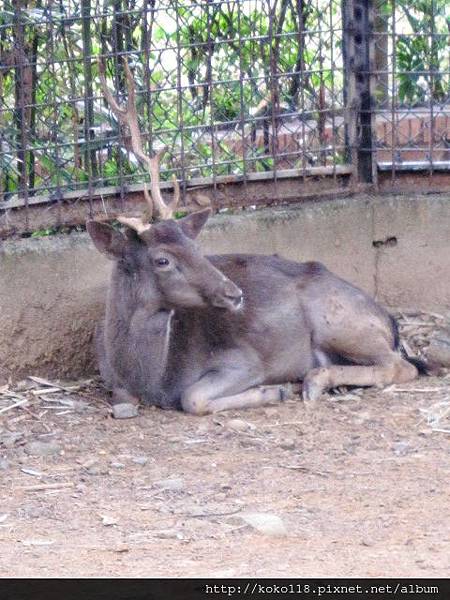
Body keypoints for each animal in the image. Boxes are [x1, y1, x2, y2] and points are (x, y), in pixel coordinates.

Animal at [87, 59, 426, 418]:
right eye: (162, 259)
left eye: (196, 247)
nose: (234, 293)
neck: (151, 375)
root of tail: (390, 322)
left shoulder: (245, 360)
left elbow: (192, 397)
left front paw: (273, 391)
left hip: (340, 322)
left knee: (402, 365)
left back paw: (314, 380)